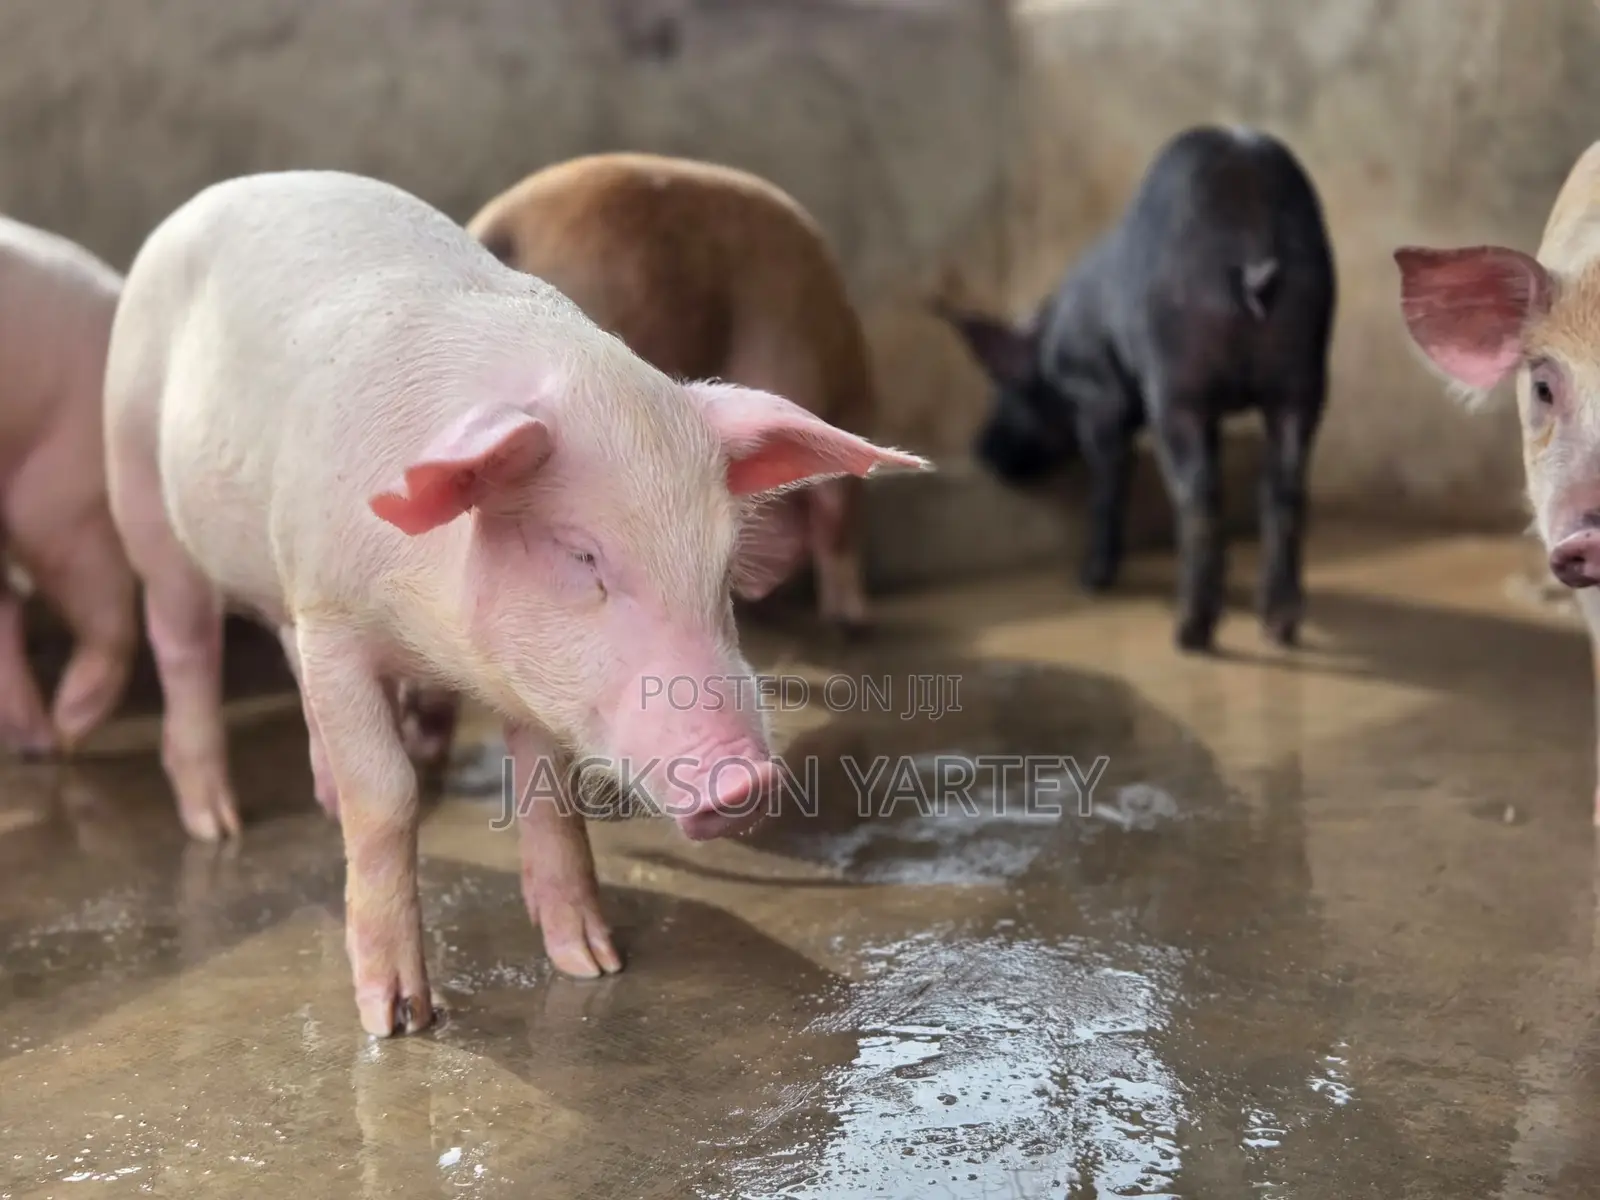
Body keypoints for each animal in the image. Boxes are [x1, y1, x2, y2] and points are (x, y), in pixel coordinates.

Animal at [102, 169, 926, 1035]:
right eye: (582, 553)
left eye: (724, 563)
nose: (747, 781)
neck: (432, 633)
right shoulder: (330, 610)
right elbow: (387, 795)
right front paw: (398, 1020)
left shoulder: (520, 672)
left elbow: (552, 796)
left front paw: (593, 963)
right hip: (141, 487)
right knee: (184, 642)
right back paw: (216, 821)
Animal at [934, 125, 1337, 652]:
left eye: (1004, 391)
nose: (980, 447)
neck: (1049, 347)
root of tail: (1251, 251)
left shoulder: (1096, 396)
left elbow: (1108, 483)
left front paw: (1089, 581)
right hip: (1301, 380)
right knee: (1284, 490)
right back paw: (1279, 626)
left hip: (1180, 387)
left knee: (1198, 494)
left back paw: (1190, 633)